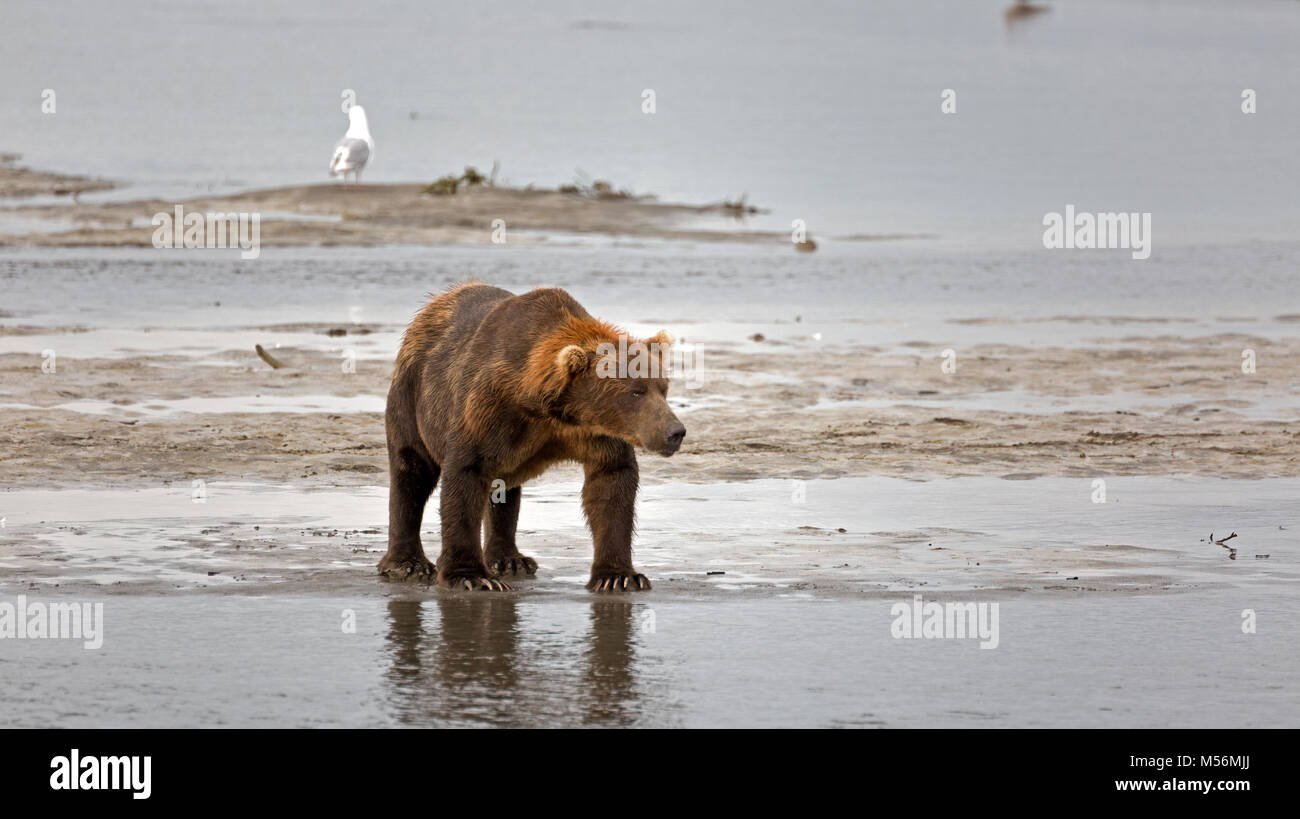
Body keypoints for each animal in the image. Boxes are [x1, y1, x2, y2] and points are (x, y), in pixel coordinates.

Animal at [379, 286, 686, 592]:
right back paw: (407, 564)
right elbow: (466, 475)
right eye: (635, 391)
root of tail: (434, 303)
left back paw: (510, 559)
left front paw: (619, 576)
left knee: (503, 488)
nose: (675, 431)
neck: (553, 410)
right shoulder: (488, 409)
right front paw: (472, 576)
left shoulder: (594, 434)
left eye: (663, 388)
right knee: (411, 471)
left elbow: (611, 485)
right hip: (413, 393)